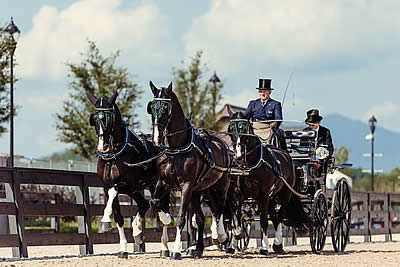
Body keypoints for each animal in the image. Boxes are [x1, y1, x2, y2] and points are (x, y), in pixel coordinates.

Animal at [86, 91, 173, 258]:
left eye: (109, 118)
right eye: (94, 118)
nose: (102, 147)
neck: (113, 156)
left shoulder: (127, 184)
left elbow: (114, 191)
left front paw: (105, 220)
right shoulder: (107, 186)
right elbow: (119, 217)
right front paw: (123, 249)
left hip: (157, 185)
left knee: (161, 206)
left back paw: (164, 246)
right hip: (141, 188)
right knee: (145, 203)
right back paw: (138, 232)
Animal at [146, 81, 231, 260]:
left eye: (166, 108)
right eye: (152, 108)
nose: (156, 139)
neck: (176, 149)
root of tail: (223, 145)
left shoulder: (186, 185)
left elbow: (181, 218)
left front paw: (176, 251)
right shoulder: (163, 182)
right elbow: (155, 202)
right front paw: (167, 219)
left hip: (220, 186)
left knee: (219, 210)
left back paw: (220, 236)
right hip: (198, 191)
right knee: (201, 218)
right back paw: (198, 248)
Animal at [227, 110, 310, 255]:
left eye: (245, 128)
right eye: (231, 129)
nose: (238, 155)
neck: (249, 165)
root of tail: (288, 156)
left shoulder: (263, 194)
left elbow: (264, 221)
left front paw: (264, 247)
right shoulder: (237, 193)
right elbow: (235, 218)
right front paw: (235, 239)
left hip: (284, 194)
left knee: (280, 216)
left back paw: (278, 244)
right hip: (272, 197)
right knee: (274, 217)